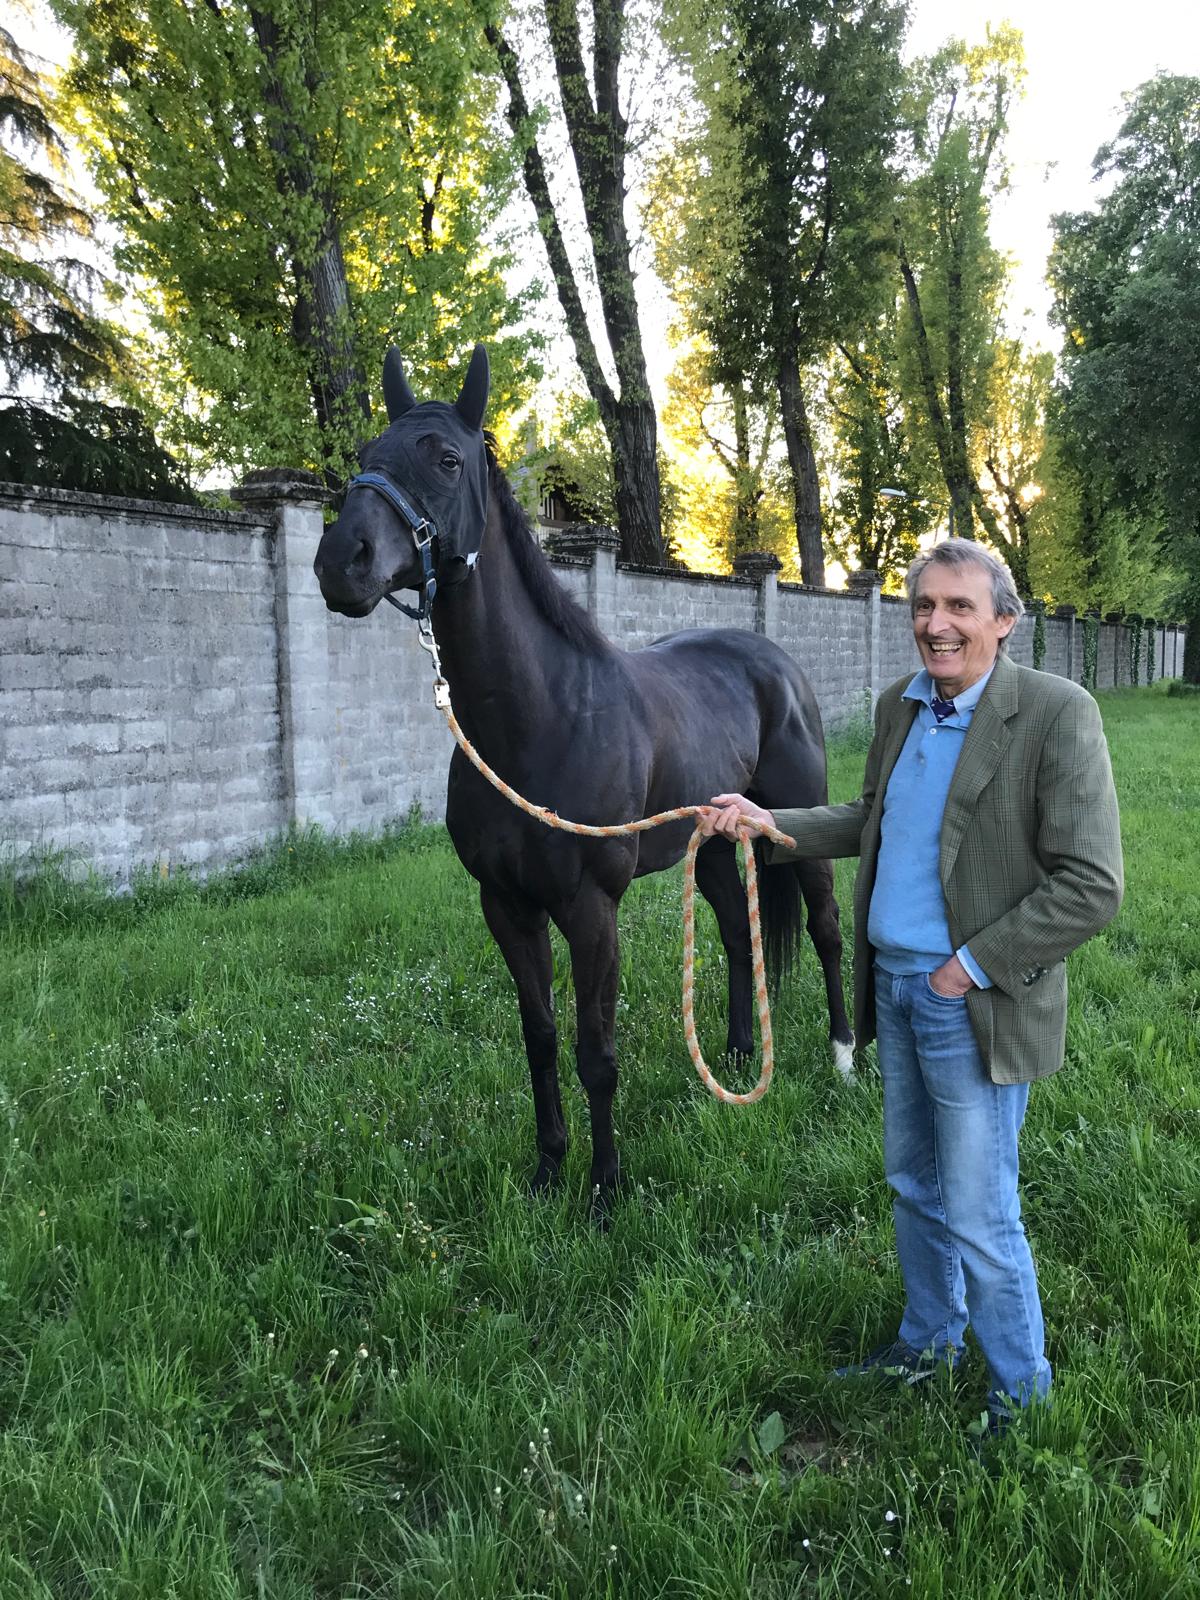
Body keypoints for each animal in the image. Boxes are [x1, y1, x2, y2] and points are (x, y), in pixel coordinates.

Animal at [314, 344, 853, 1217]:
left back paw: (844, 1057)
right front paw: (547, 1171)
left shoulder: (591, 911)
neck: (537, 720)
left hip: (796, 828)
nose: (341, 563)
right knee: (736, 936)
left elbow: (594, 1048)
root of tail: (775, 663)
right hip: (710, 846)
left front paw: (603, 1190)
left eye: (447, 458)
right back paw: (738, 1055)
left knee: (827, 929)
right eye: (367, 453)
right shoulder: (506, 907)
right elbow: (539, 1038)